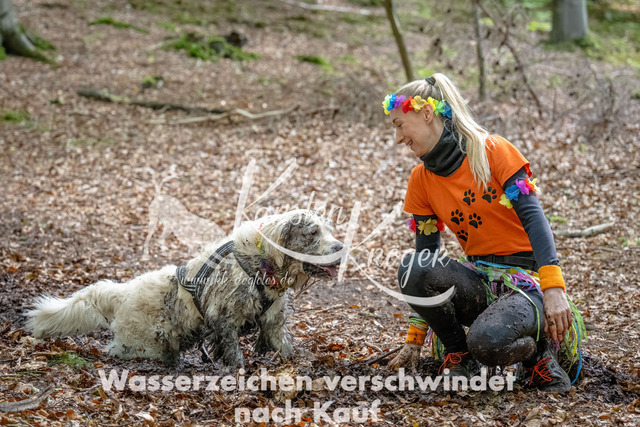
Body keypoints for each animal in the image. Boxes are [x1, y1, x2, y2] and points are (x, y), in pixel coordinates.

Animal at [27, 210, 343, 366]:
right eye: (313, 233)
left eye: (329, 230)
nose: (341, 247)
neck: (260, 262)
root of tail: (121, 293)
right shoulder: (224, 319)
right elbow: (234, 353)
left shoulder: (273, 320)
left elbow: (285, 347)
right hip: (145, 344)